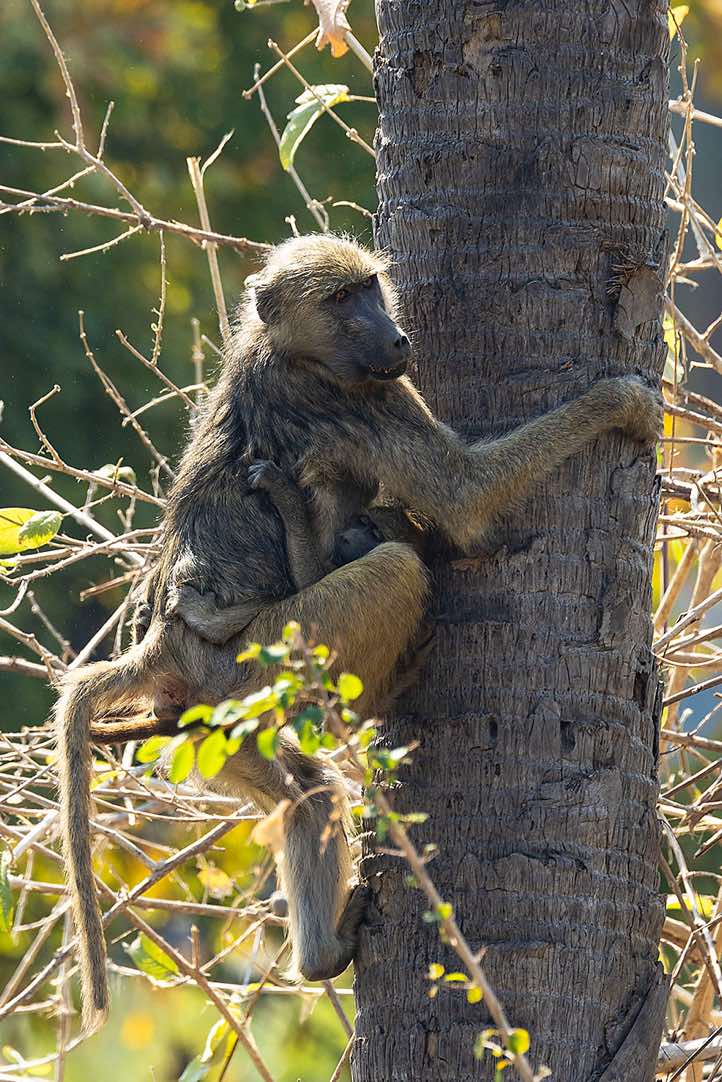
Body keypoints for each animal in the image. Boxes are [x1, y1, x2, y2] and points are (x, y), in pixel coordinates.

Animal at [55, 232, 663, 1034]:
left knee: (305, 792)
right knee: (398, 568)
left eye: (372, 288)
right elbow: (465, 495)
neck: (287, 350)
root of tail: (165, 643)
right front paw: (624, 403)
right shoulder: (364, 401)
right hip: (267, 654)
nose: (398, 339)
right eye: (343, 300)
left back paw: (320, 956)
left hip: (212, 718)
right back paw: (383, 689)